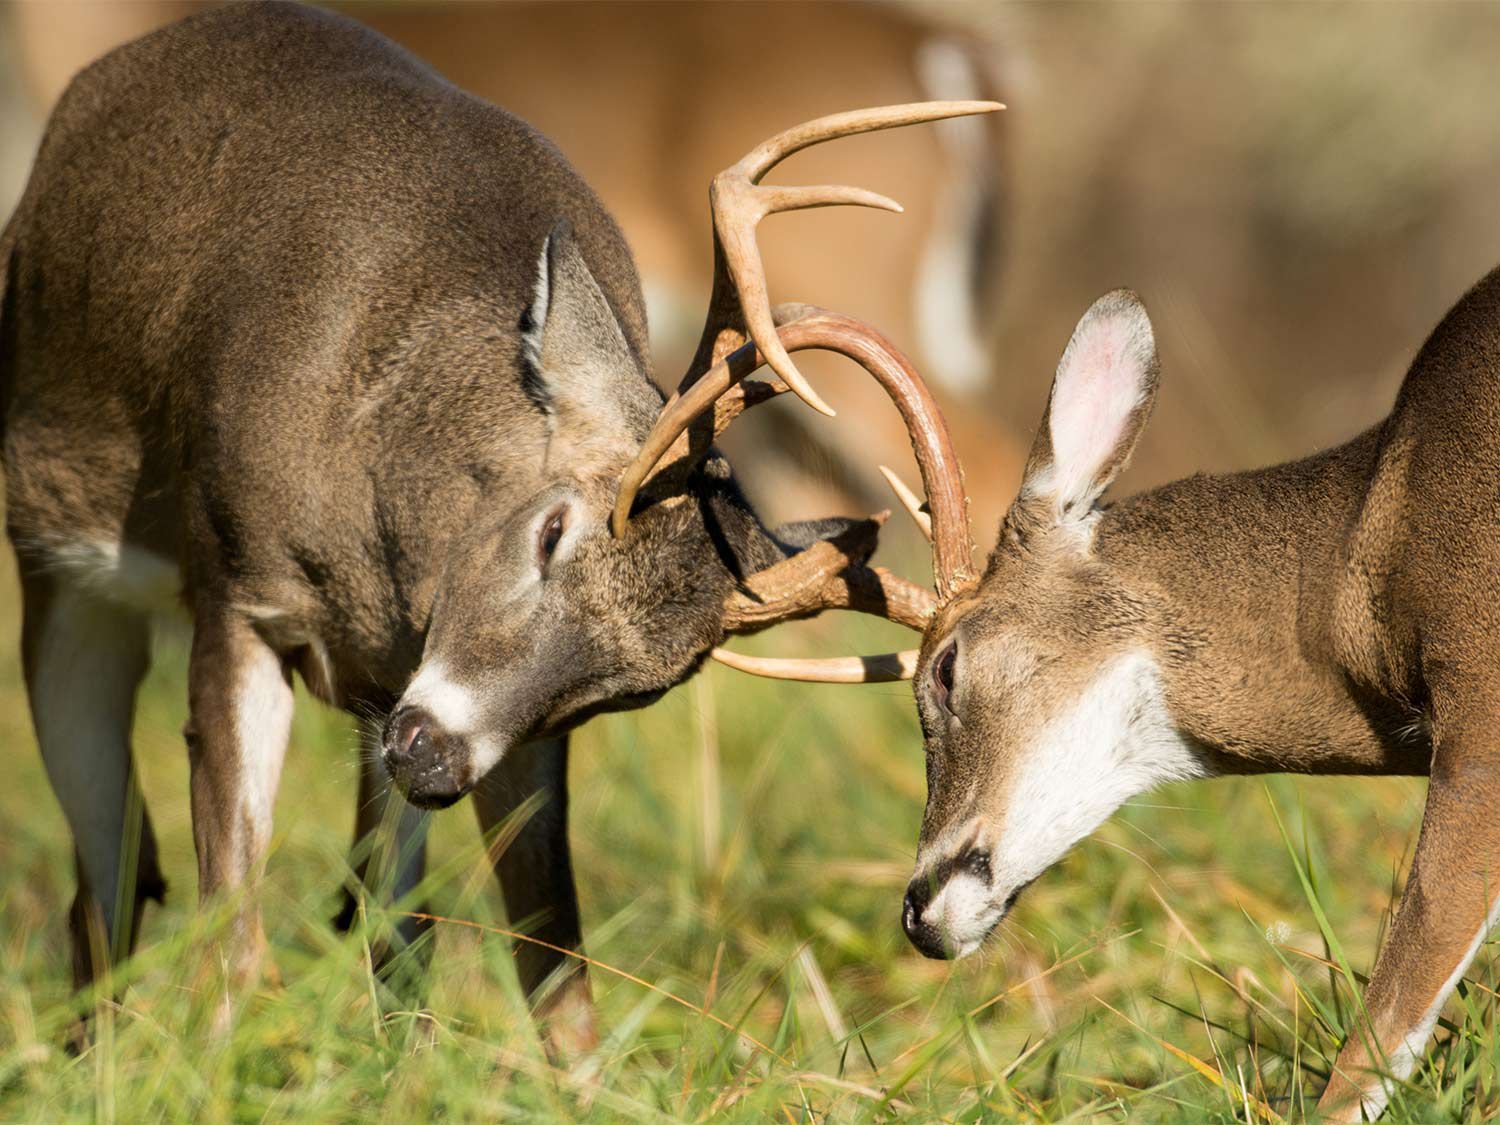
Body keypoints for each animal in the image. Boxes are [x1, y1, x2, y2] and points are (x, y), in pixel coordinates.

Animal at [2, 4, 996, 1056]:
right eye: (552, 530)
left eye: (646, 685)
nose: (433, 753)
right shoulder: (238, 585)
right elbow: (232, 935)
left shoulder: (483, 716)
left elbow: (543, 965)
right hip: (59, 567)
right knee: (109, 874)